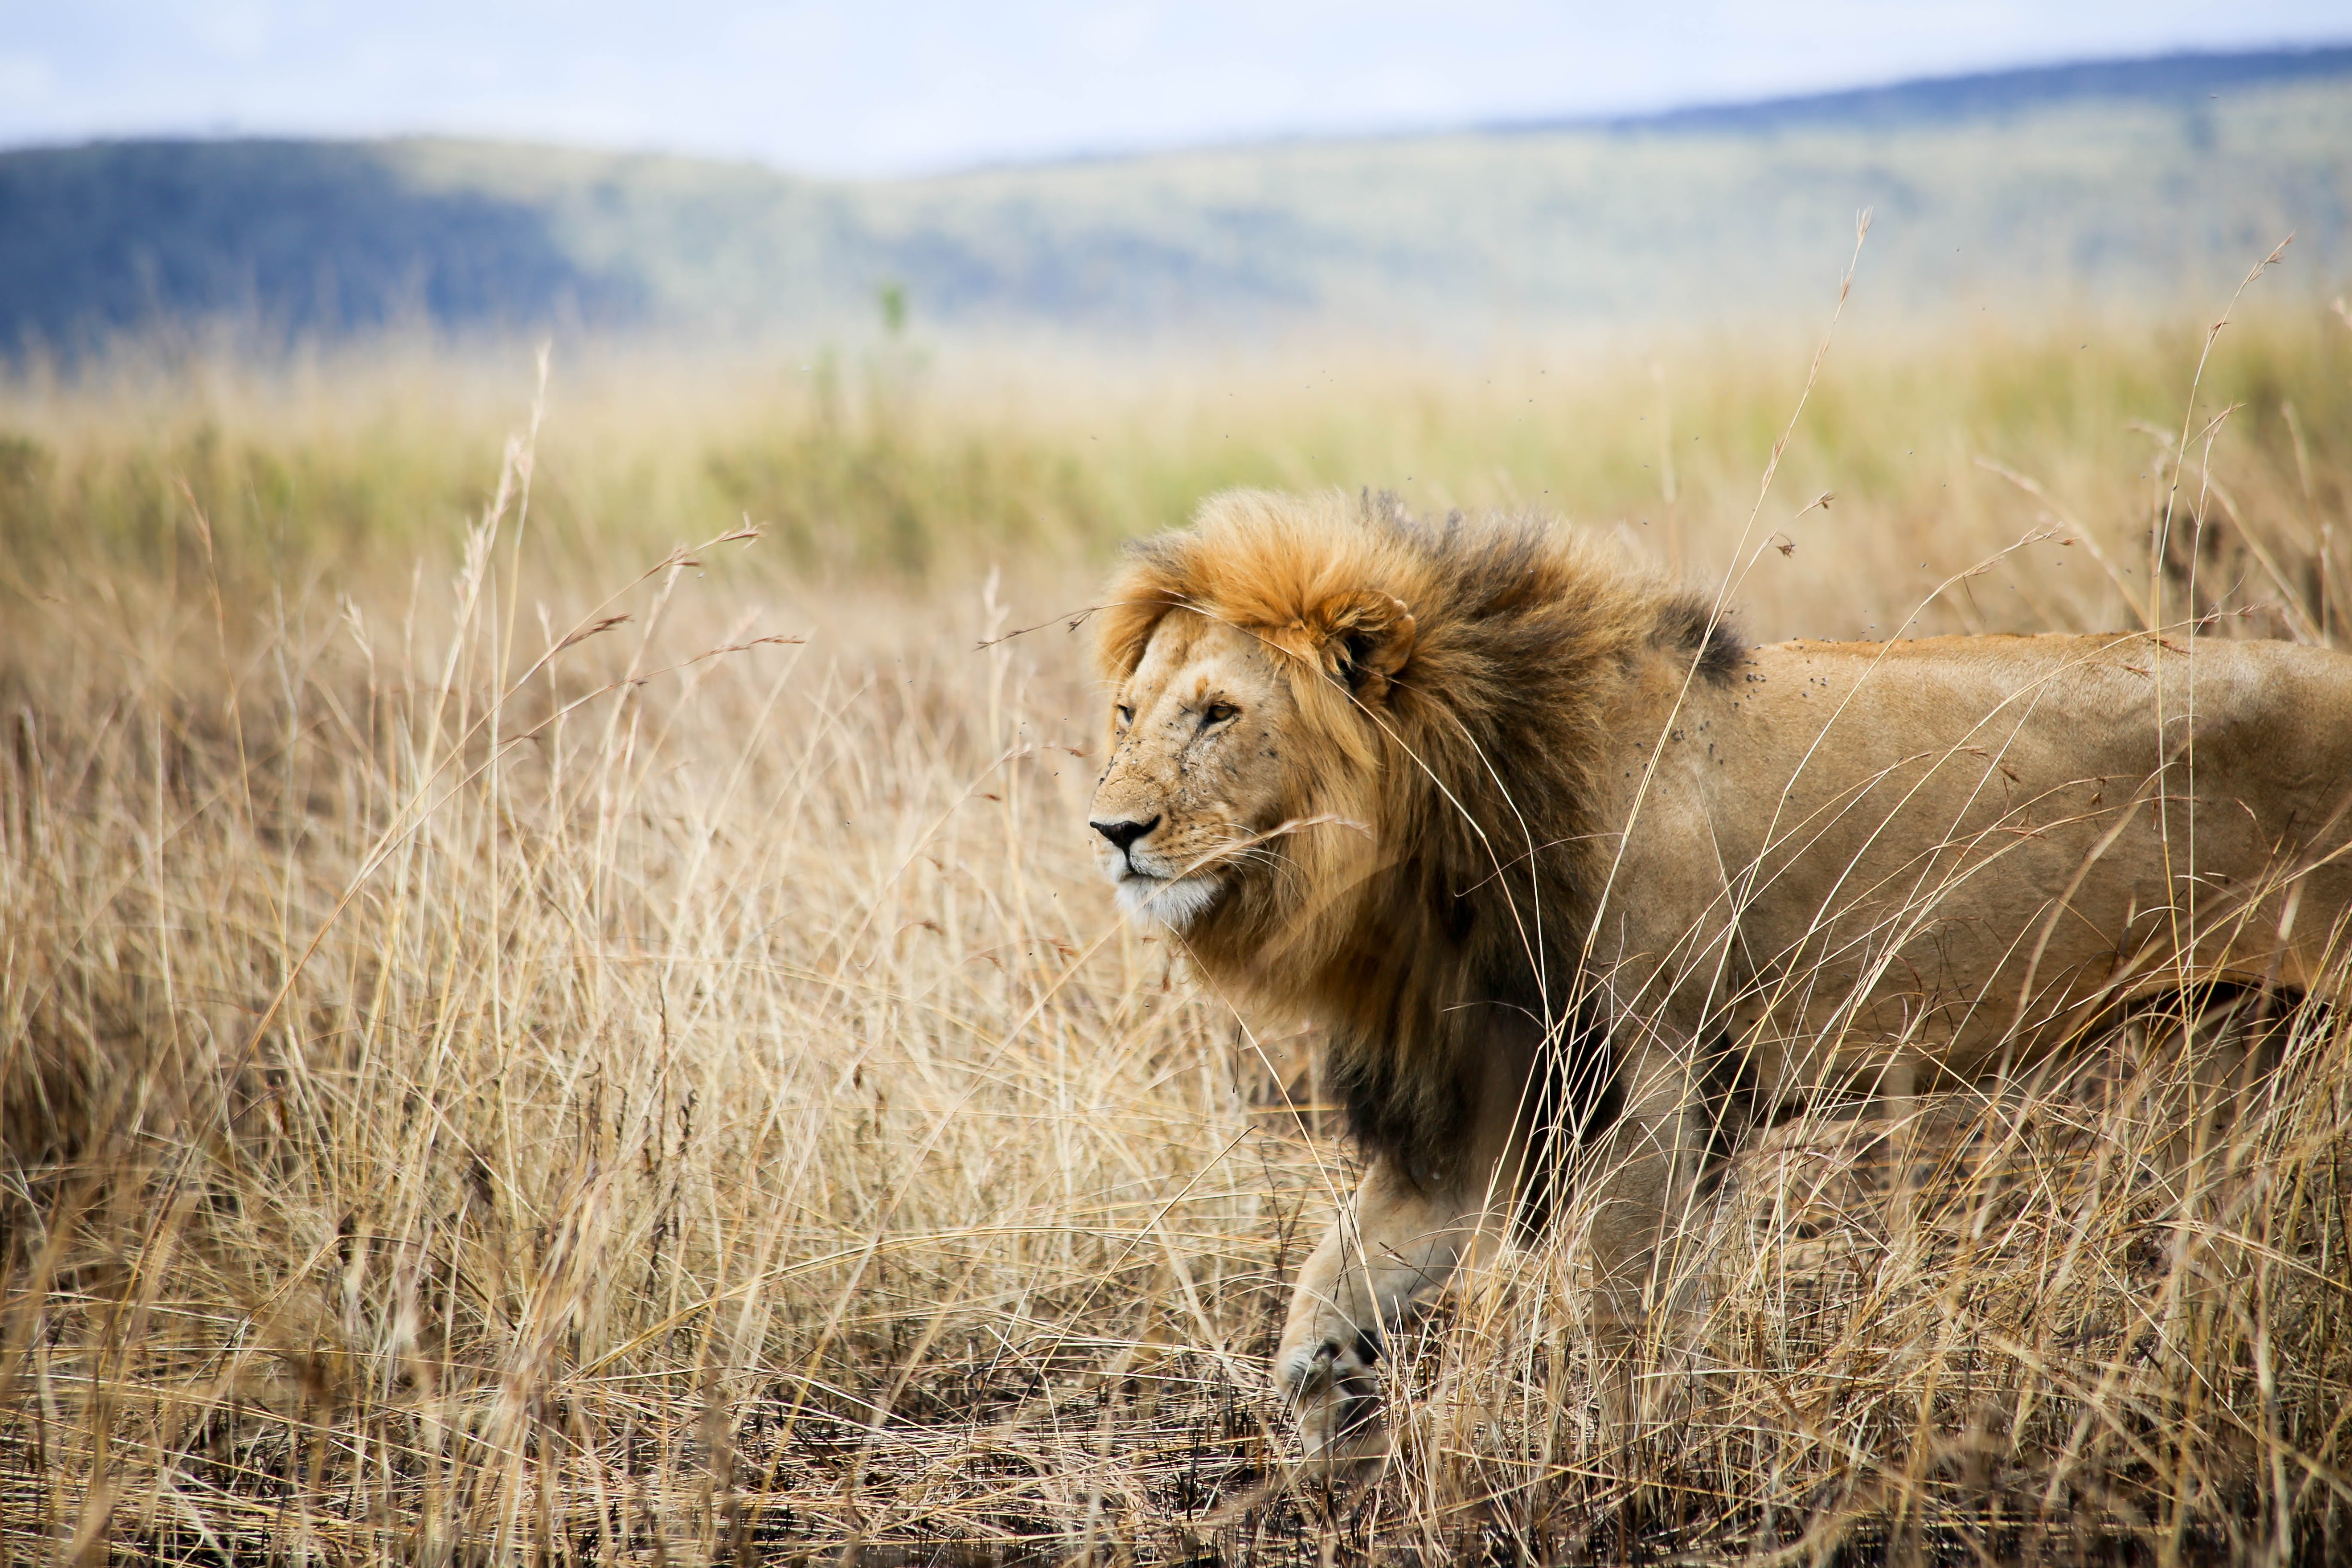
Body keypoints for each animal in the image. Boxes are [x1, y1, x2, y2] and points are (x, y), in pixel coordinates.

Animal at [1085, 489, 2352, 1468]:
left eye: (1218, 713)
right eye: (1126, 712)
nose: (1111, 829)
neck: (1448, 823)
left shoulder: (1658, 1082)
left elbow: (1618, 1313)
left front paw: (1624, 1469)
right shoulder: (1503, 1093)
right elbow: (1331, 1292)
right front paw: (1328, 1438)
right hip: (2241, 1040)